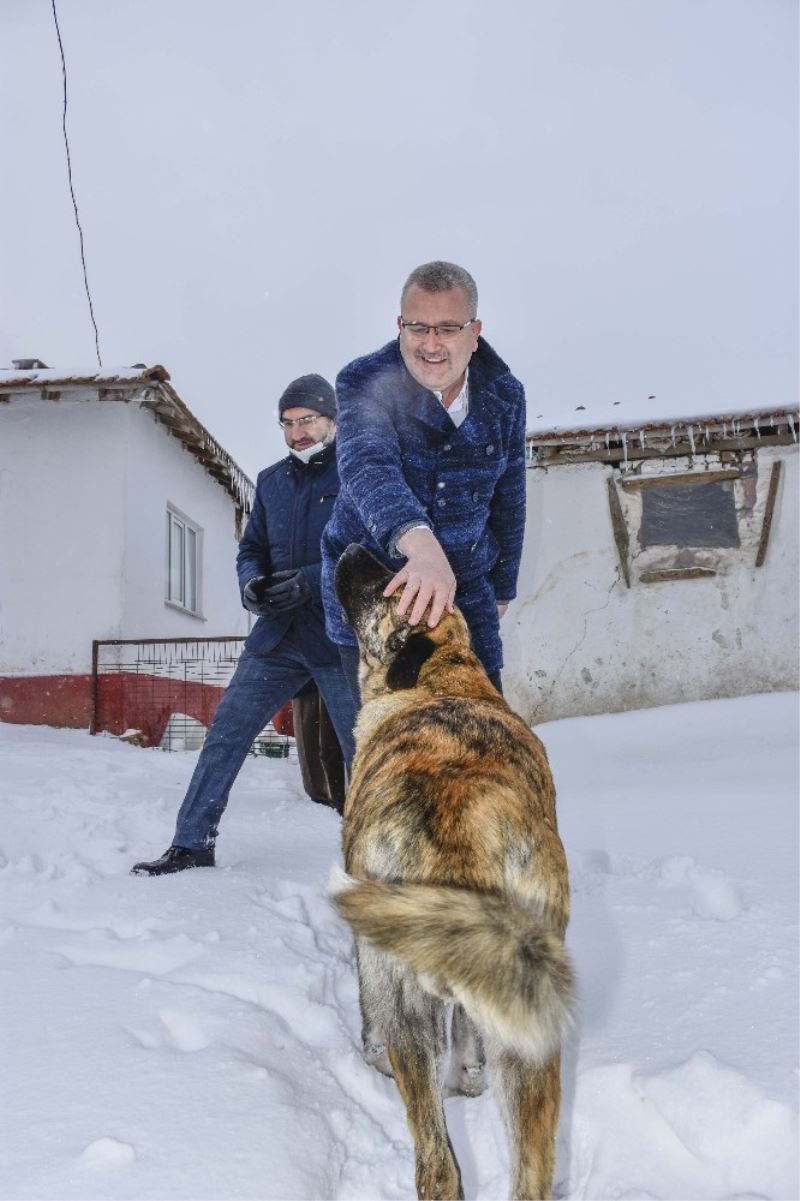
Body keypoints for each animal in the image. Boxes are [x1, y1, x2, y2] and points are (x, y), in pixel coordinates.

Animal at [329, 547, 574, 1201]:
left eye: (388, 583)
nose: (352, 548)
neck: (446, 676)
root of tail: (460, 838)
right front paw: (467, 1078)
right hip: (529, 1028)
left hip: (404, 994)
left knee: (438, 1165)